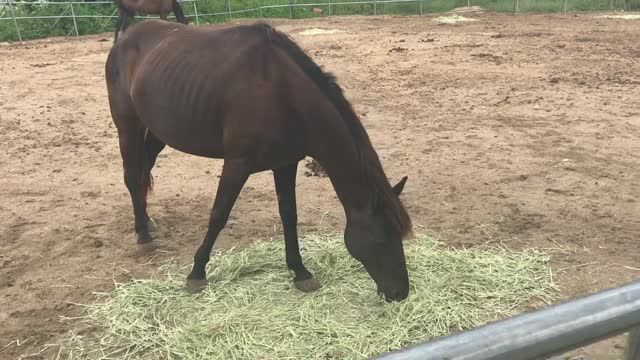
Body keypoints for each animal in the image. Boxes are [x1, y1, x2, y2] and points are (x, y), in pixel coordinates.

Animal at [104, 19, 416, 300]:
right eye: (381, 238)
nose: (400, 293)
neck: (282, 93)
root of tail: (125, 37)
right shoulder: (237, 163)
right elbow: (218, 215)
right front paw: (197, 273)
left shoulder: (286, 163)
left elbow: (289, 215)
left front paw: (300, 271)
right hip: (128, 125)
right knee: (131, 175)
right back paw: (142, 235)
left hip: (160, 131)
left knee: (142, 172)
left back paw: (146, 222)